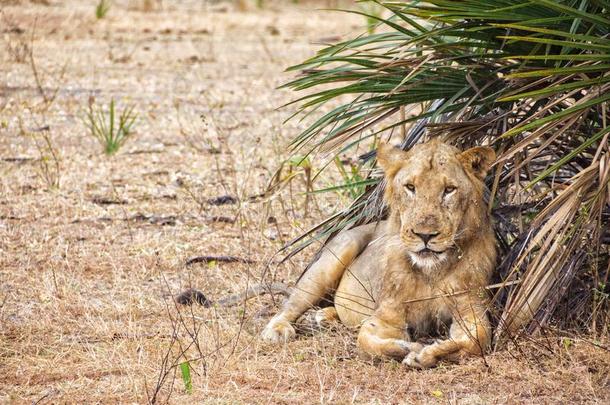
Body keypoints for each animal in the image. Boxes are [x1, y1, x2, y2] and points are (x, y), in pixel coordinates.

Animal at [260, 140, 494, 370]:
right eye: (410, 187)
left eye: (449, 189)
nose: (425, 235)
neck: (431, 272)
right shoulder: (387, 315)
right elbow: (367, 341)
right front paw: (409, 348)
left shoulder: (471, 310)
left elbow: (476, 341)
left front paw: (427, 354)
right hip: (334, 257)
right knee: (291, 304)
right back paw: (278, 329)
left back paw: (323, 317)